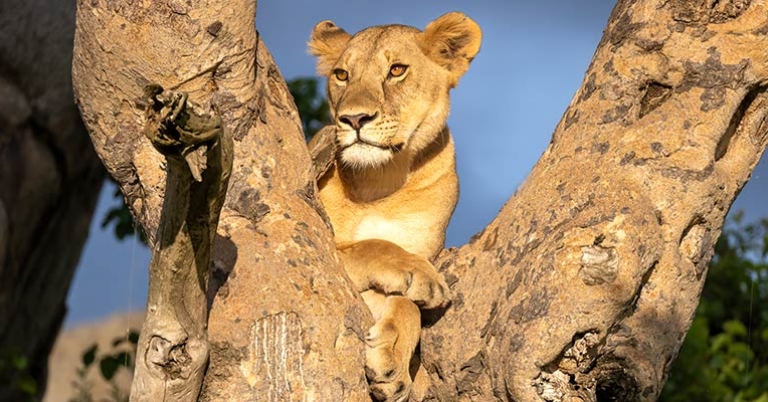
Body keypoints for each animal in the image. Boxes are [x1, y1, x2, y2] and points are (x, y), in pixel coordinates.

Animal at [307, 12, 482, 401]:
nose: (354, 119)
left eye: (397, 70)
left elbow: (408, 306)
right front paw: (418, 275)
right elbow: (371, 245)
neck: (379, 180)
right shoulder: (321, 243)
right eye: (342, 74)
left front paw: (393, 367)